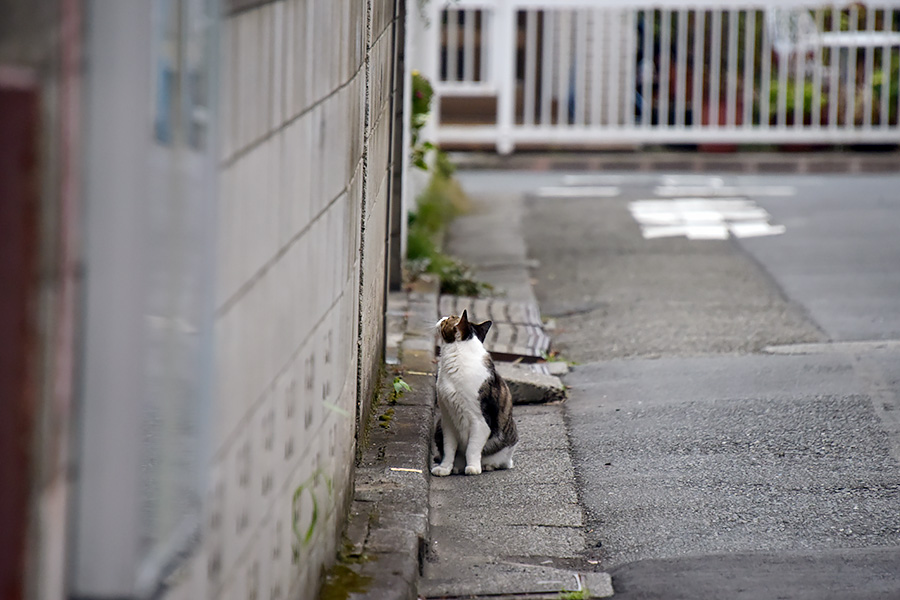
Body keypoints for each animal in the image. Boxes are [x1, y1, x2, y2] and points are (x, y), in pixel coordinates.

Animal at [430, 310, 516, 478]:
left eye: (449, 319)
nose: (442, 317)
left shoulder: (480, 421)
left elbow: (472, 448)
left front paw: (473, 468)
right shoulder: (447, 419)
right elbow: (449, 449)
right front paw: (445, 468)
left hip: (506, 446)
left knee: (501, 461)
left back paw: (486, 465)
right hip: (438, 426)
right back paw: (456, 467)